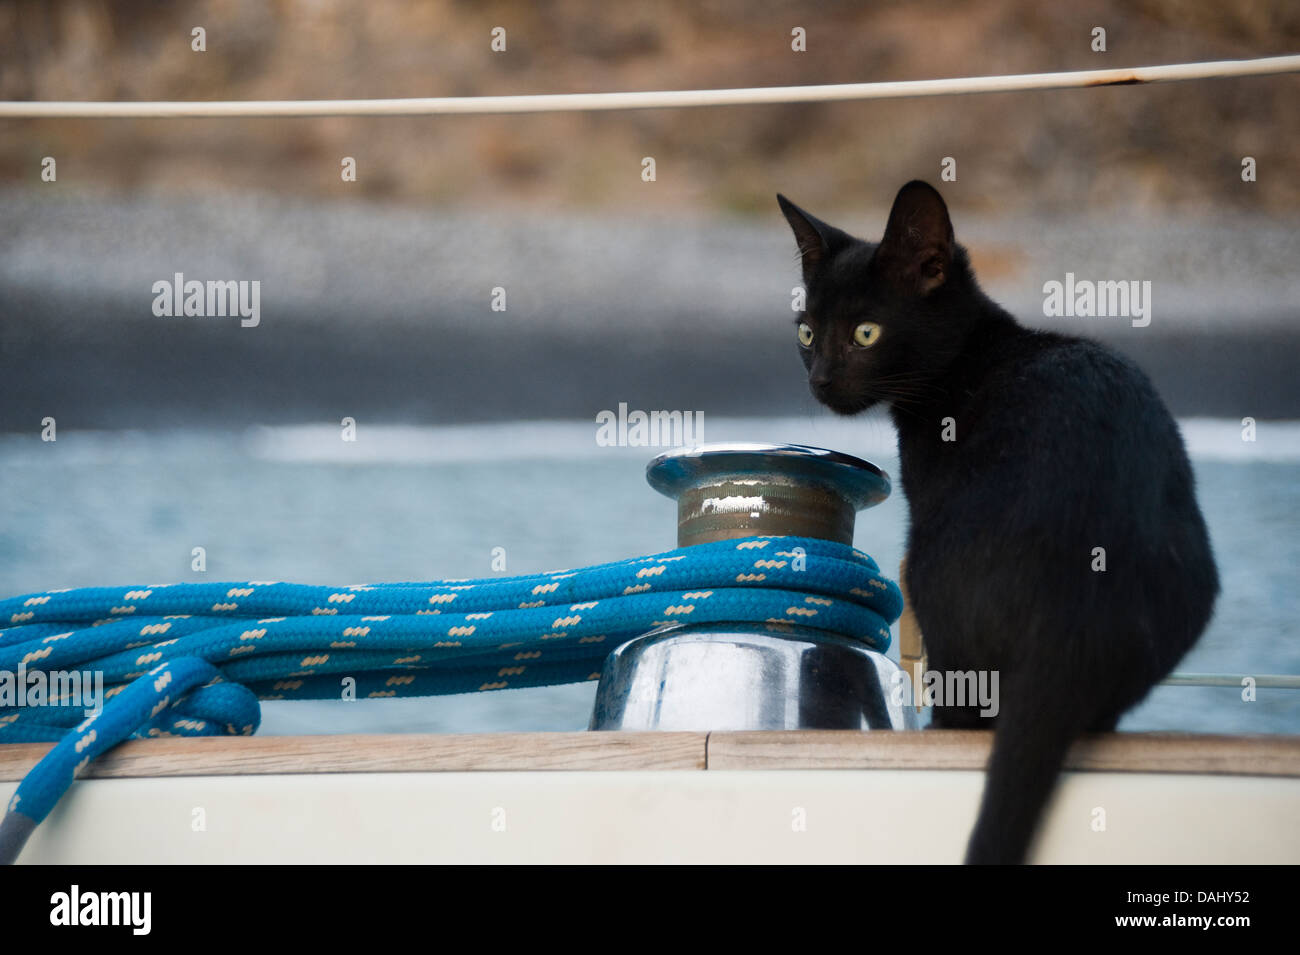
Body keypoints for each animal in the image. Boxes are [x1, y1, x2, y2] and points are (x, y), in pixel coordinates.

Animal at [780, 179, 1216, 867]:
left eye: (865, 332)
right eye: (805, 331)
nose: (820, 378)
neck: (969, 355)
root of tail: (1073, 617)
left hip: (926, 564)